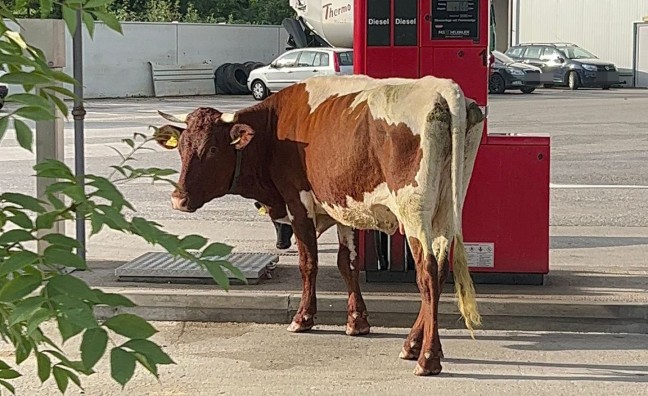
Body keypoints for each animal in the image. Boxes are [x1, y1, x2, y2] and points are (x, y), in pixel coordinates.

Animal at [154, 73, 484, 374]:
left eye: (211, 149)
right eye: (182, 147)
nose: (178, 199)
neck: (274, 129)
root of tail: (441, 87)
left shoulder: (298, 203)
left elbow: (308, 262)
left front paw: (303, 318)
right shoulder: (342, 205)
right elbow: (346, 262)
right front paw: (357, 321)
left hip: (414, 213)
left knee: (426, 275)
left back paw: (427, 357)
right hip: (446, 209)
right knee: (439, 270)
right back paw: (412, 344)